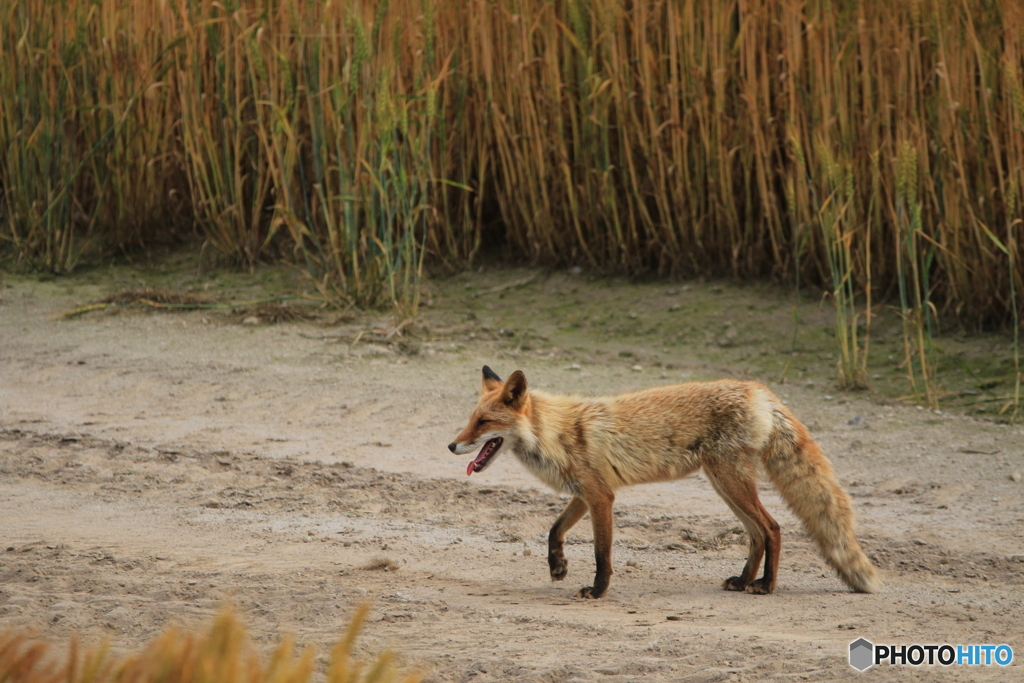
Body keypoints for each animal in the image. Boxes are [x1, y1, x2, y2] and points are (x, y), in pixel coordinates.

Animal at [448, 368, 880, 598]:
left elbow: (602, 555)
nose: (452, 445)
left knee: (772, 528)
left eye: (484, 423)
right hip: (724, 483)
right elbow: (554, 530)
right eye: (471, 420)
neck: (558, 433)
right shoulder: (585, 493)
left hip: (730, 481)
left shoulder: (602, 497)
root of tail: (758, 389)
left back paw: (767, 585)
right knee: (757, 534)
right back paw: (744, 581)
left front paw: (597, 591)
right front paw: (558, 566)